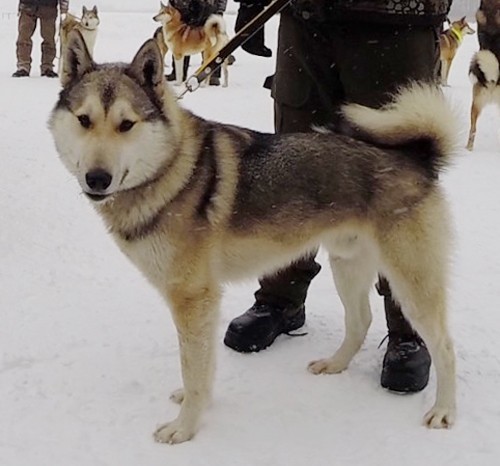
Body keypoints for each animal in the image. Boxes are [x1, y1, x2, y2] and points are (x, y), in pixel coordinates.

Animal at [49, 31, 457, 444]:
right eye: (84, 120)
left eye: (126, 124)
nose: (97, 179)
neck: (171, 168)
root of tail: (419, 159)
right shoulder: (203, 302)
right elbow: (203, 366)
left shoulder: (192, 298)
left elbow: (193, 368)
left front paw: (185, 426)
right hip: (347, 265)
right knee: (361, 321)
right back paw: (334, 365)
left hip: (411, 282)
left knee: (443, 345)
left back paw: (444, 410)